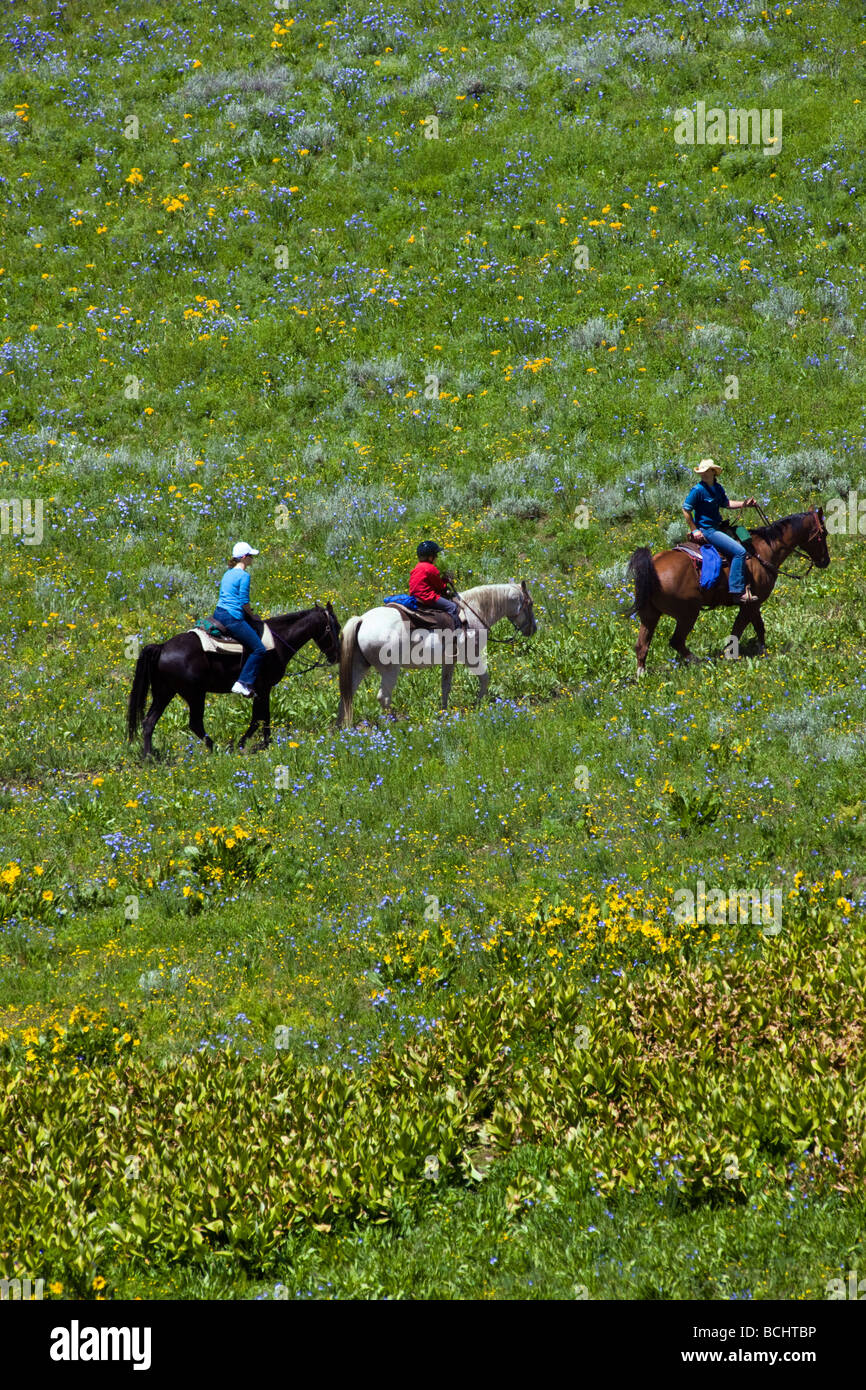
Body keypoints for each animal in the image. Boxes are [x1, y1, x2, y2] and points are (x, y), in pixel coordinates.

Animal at [127, 603, 341, 756]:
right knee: (195, 723)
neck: (277, 642)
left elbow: (261, 717)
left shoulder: (261, 690)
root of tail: (162, 647)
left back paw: (149, 757)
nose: (336, 657)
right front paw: (253, 744)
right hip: (195, 694)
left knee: (148, 722)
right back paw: (216, 749)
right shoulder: (263, 688)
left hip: (164, 692)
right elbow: (260, 718)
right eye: (336, 627)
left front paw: (262, 744)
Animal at [336, 582, 537, 727]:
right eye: (531, 603)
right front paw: (478, 704)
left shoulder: (449, 661)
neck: (474, 612)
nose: (533, 630)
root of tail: (362, 620)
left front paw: (444, 712)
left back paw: (342, 728)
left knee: (347, 693)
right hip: (390, 670)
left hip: (359, 666)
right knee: (383, 697)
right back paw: (395, 725)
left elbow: (445, 686)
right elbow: (485, 678)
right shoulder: (471, 658)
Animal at [626, 509, 829, 675]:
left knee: (641, 645)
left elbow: (758, 627)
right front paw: (732, 654)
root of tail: (652, 566)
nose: (825, 561)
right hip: (687, 614)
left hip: (649, 615)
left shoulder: (753, 604)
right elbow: (739, 630)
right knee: (676, 641)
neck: (762, 550)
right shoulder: (750, 604)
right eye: (823, 533)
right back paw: (699, 661)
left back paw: (641, 675)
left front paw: (762, 651)